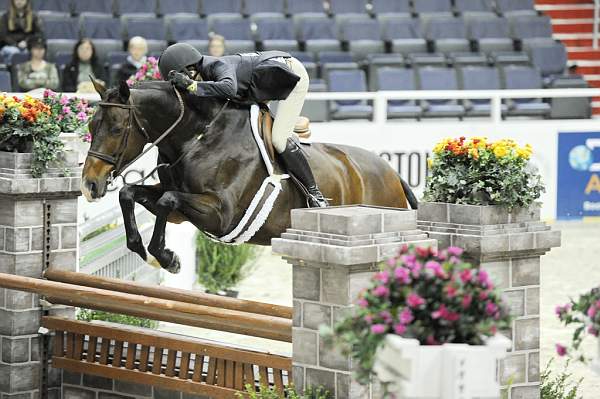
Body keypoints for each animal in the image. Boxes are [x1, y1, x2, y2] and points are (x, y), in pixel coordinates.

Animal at [81, 79, 418, 274]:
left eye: (116, 129)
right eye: (90, 126)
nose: (89, 185)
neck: (198, 136)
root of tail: (393, 174)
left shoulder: (221, 214)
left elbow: (167, 200)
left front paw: (166, 258)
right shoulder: (179, 211)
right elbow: (131, 194)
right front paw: (146, 250)